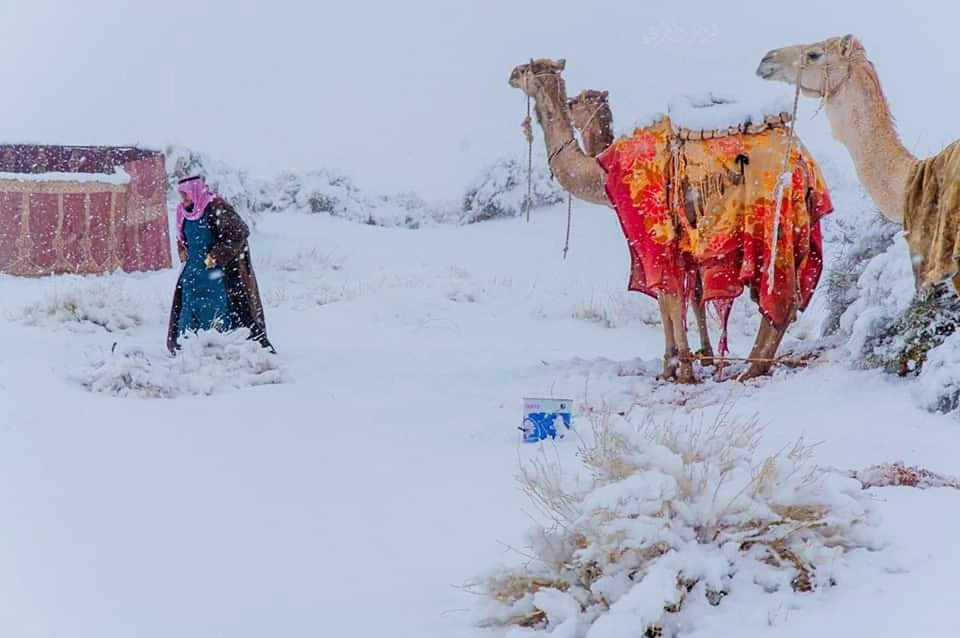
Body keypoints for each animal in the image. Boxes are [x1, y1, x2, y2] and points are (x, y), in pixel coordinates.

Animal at [510, 57, 832, 382]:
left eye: (525, 69)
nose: (510, 75)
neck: (602, 173)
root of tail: (803, 162)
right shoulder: (685, 243)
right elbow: (688, 296)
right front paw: (697, 358)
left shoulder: (653, 233)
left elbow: (668, 296)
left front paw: (677, 367)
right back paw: (754, 365)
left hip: (772, 219)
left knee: (780, 297)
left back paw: (750, 368)